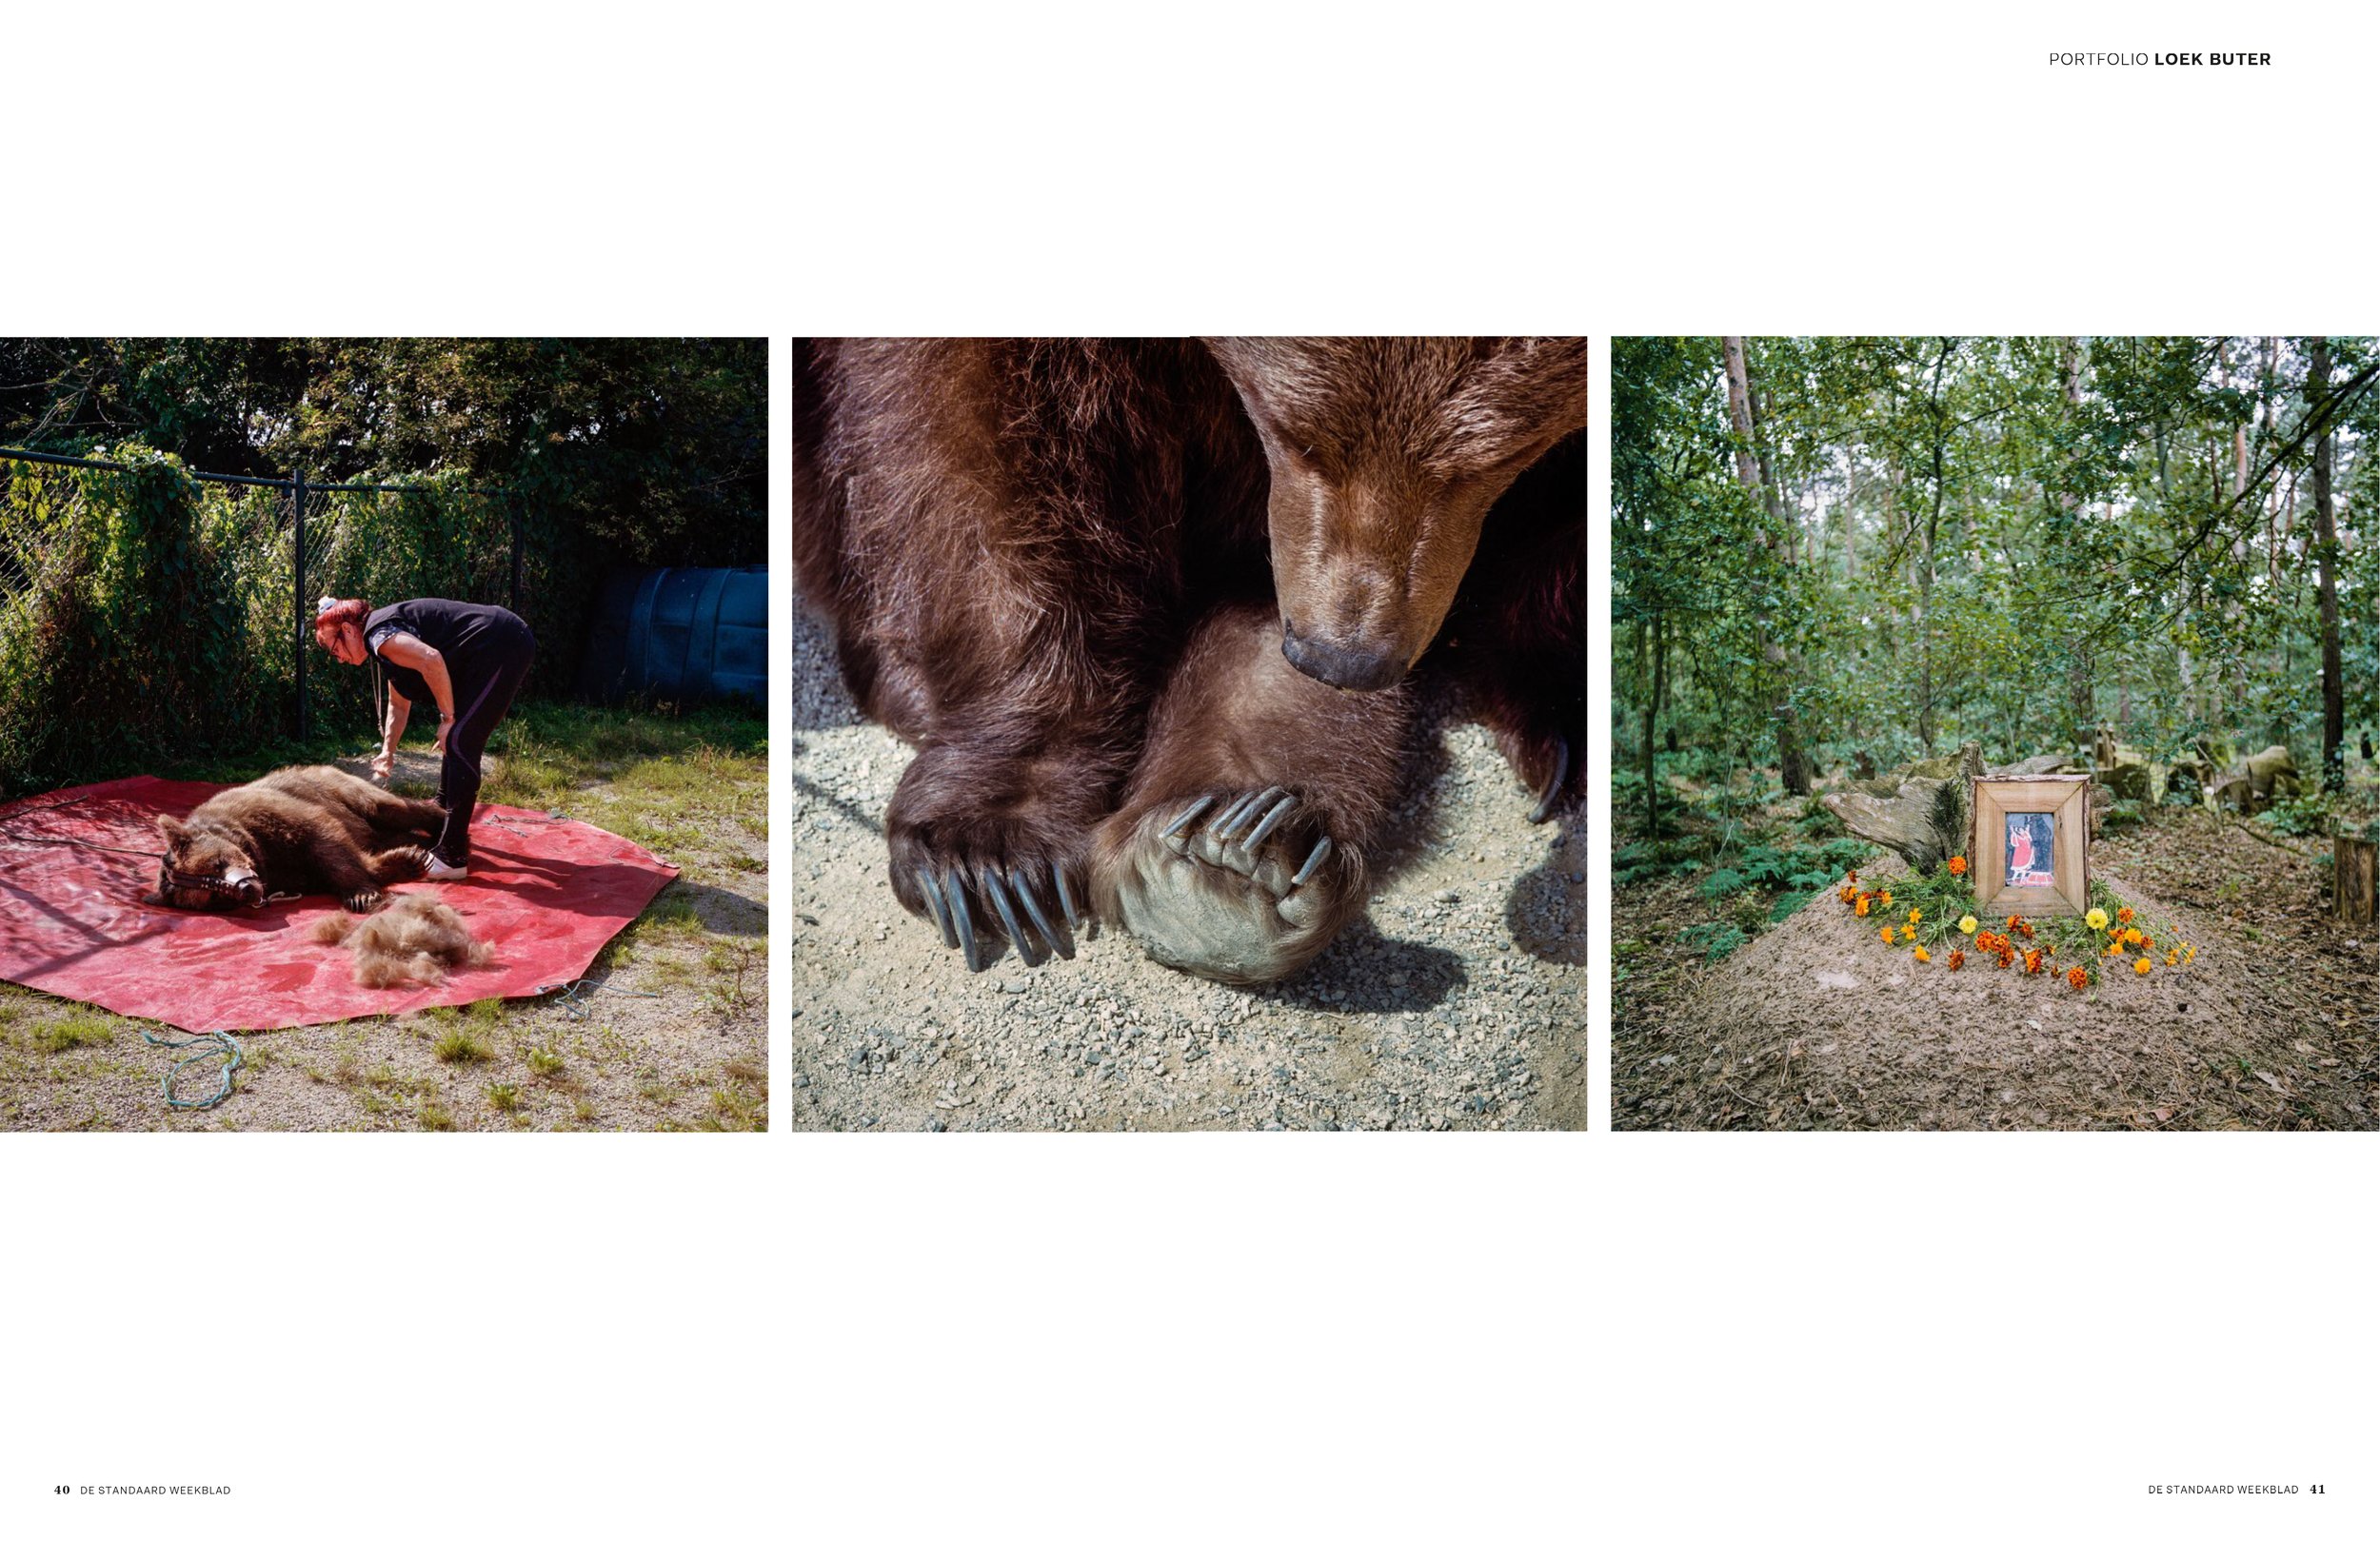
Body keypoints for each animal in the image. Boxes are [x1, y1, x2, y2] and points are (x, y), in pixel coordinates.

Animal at [149, 765, 447, 908]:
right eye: (213, 897)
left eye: (217, 863)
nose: (248, 890)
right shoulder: (284, 873)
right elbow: (321, 868)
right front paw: (408, 860)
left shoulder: (271, 814)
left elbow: (327, 840)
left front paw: (364, 894)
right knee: (390, 833)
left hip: (338, 789)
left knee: (389, 808)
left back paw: (442, 821)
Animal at [790, 337, 1590, 989]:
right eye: (1297, 435)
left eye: (1499, 457)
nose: (1343, 657)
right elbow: (989, 446)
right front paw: (988, 851)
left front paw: (1556, 707)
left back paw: (1238, 852)